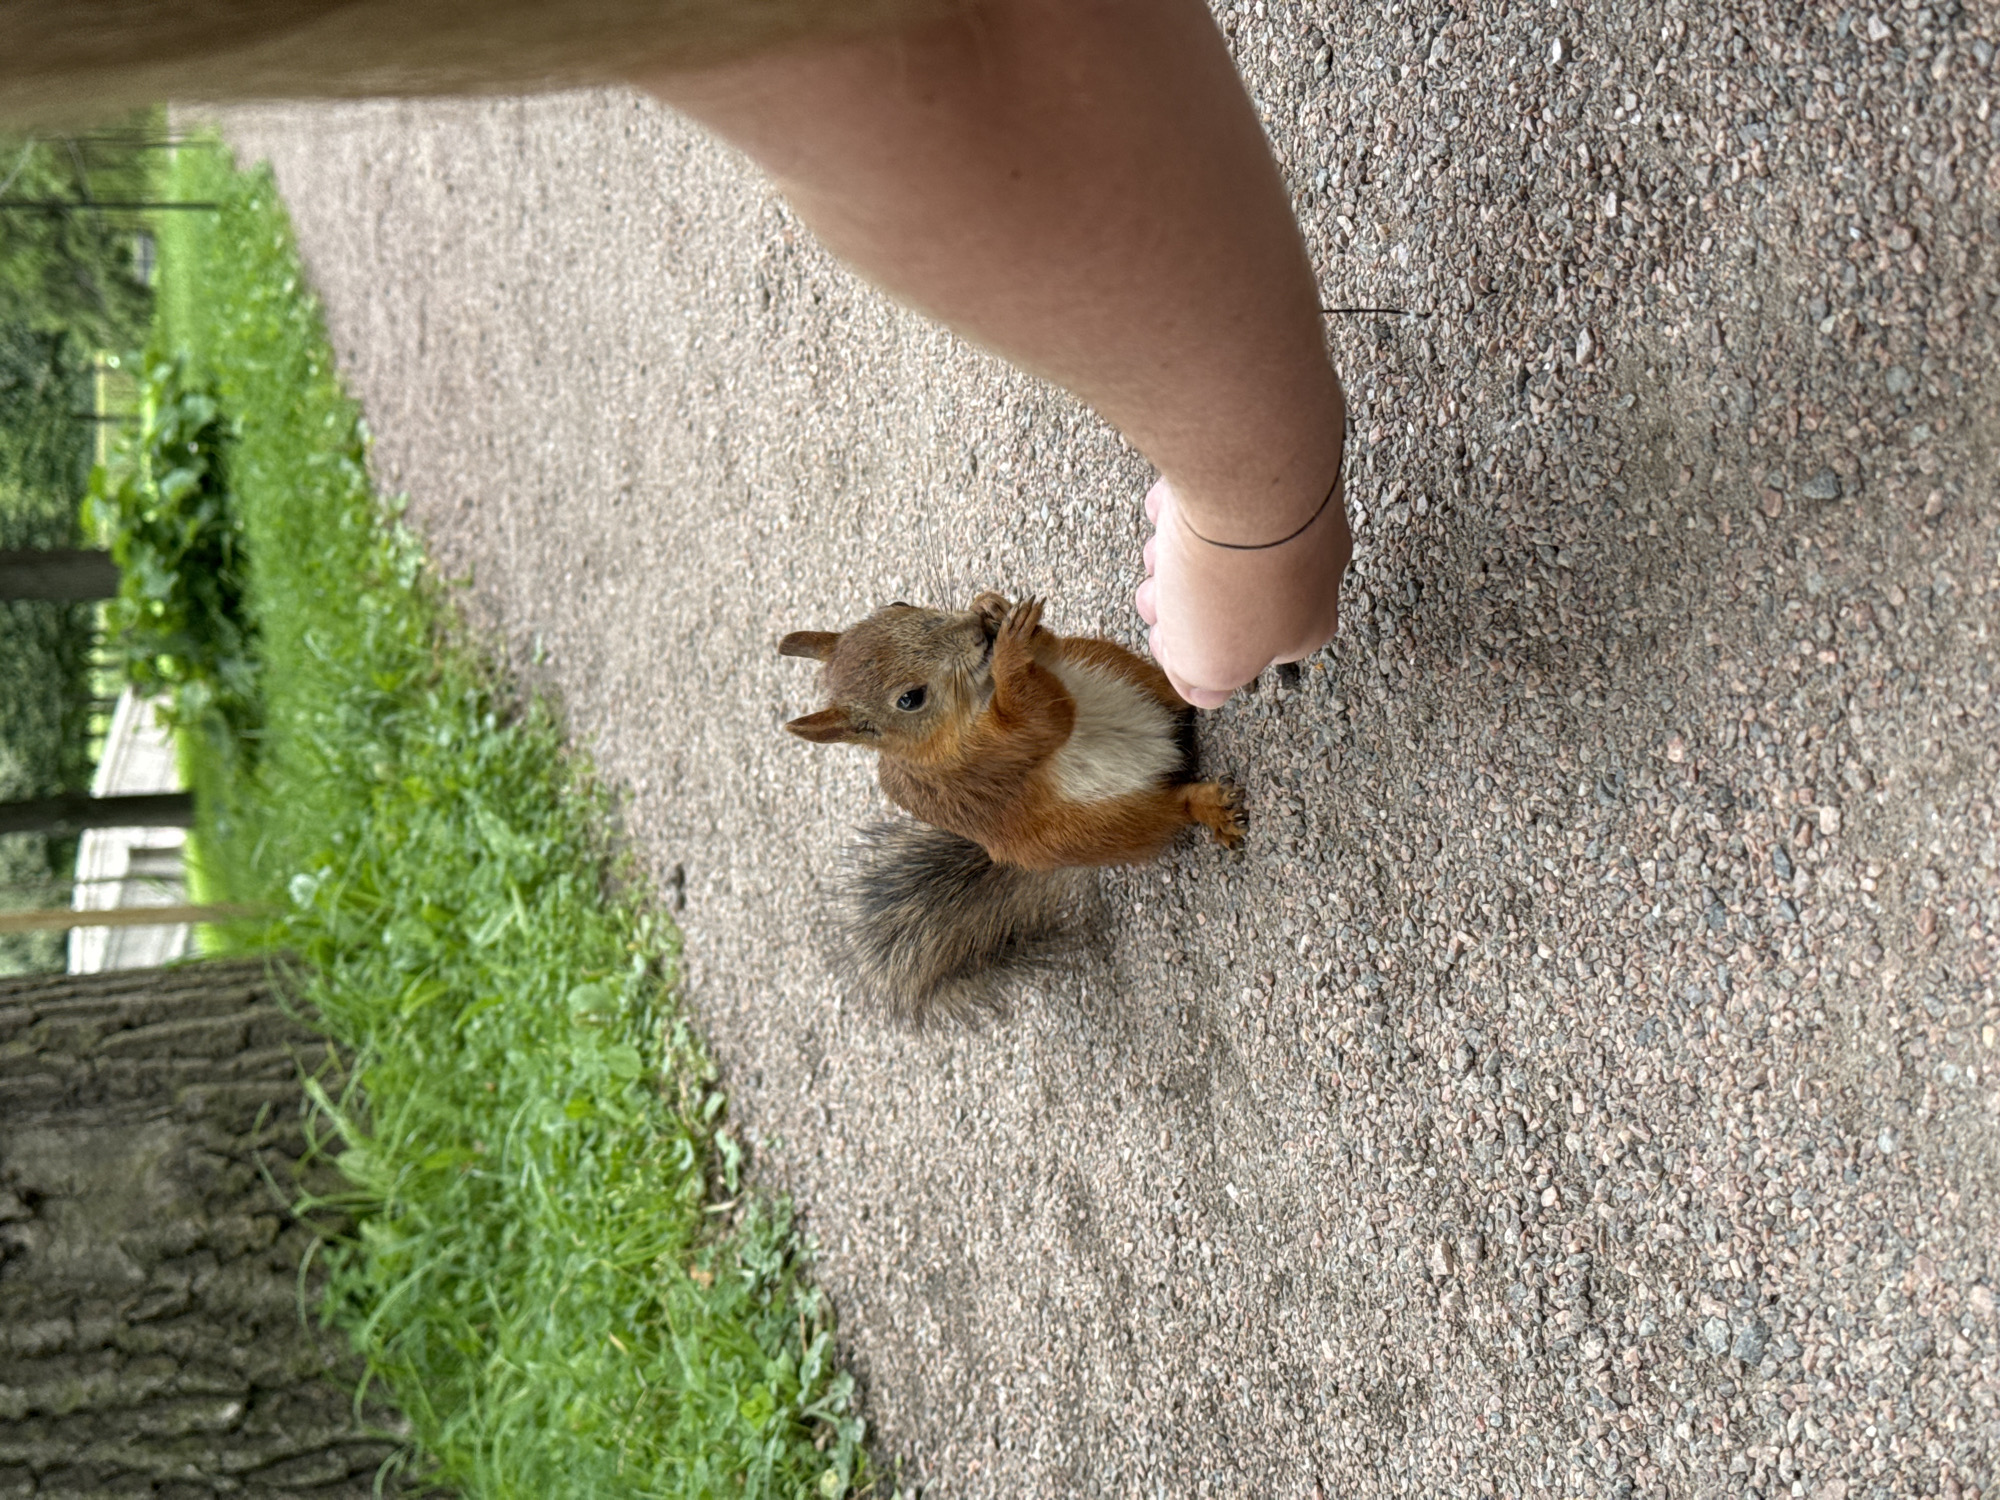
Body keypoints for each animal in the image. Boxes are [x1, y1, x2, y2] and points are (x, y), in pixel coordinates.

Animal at [779, 590, 1245, 1026]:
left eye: (898, 604)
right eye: (910, 699)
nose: (975, 630)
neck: (978, 696)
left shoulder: (1049, 668)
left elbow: (1051, 653)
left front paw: (995, 607)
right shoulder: (982, 761)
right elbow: (1039, 722)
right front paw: (1008, 650)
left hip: (1118, 667)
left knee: (1170, 698)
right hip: (1108, 822)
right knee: (1172, 807)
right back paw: (1208, 805)